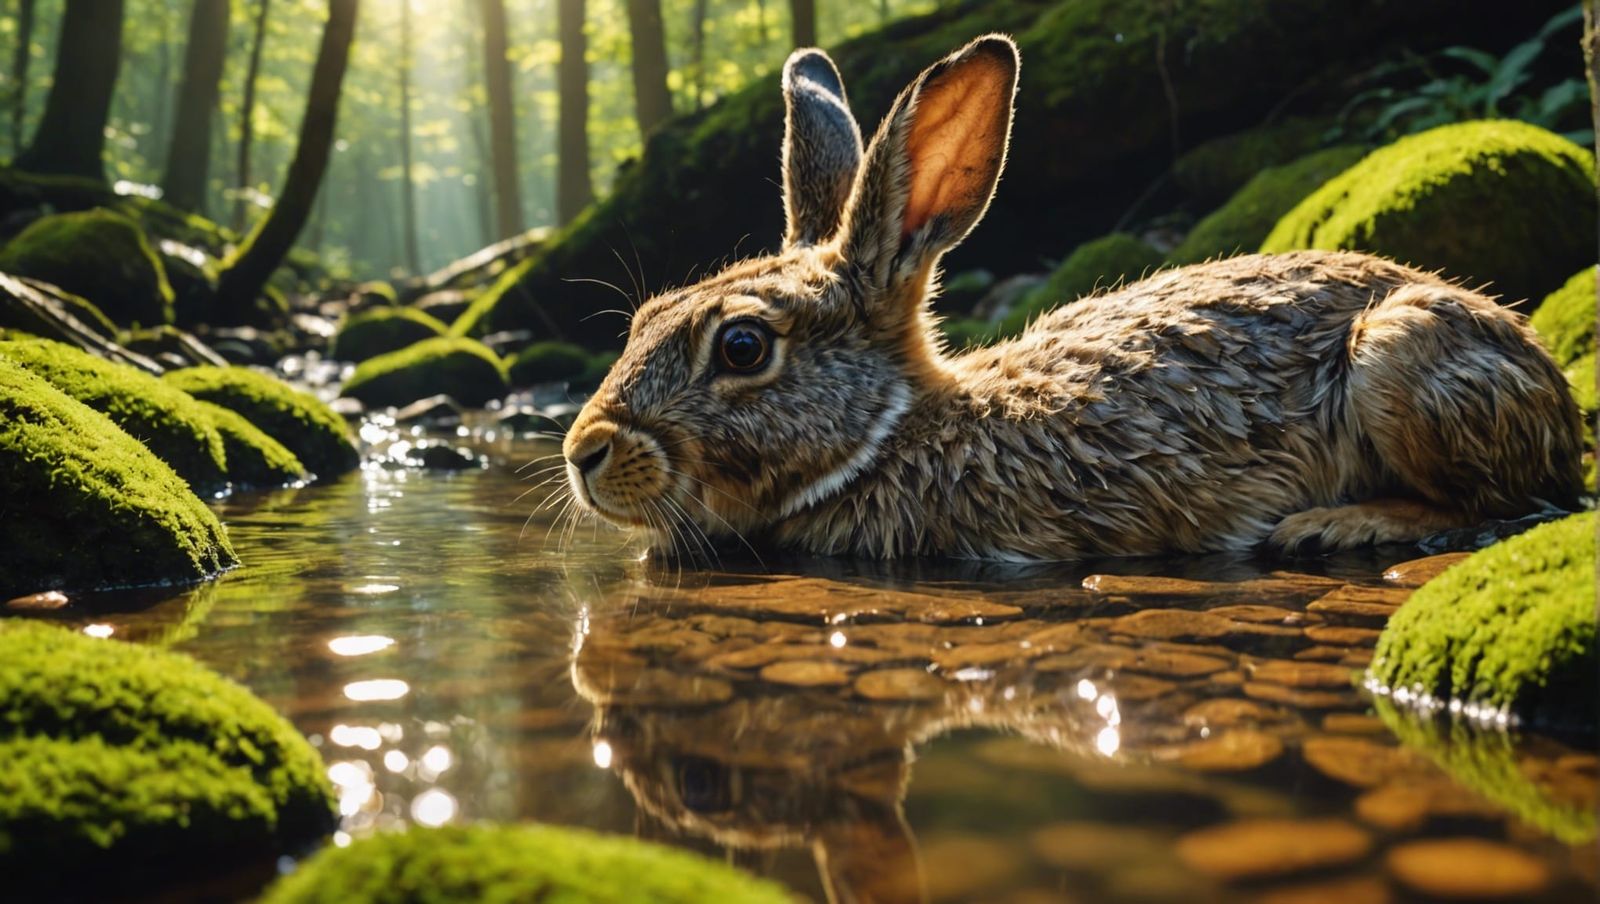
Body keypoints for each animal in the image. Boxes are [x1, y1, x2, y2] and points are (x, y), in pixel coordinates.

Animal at [560, 34, 1585, 561]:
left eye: (741, 348)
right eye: (644, 319)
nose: (583, 453)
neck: (893, 433)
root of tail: (1556, 399)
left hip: (1401, 360)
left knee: (1507, 502)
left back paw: (1333, 524)